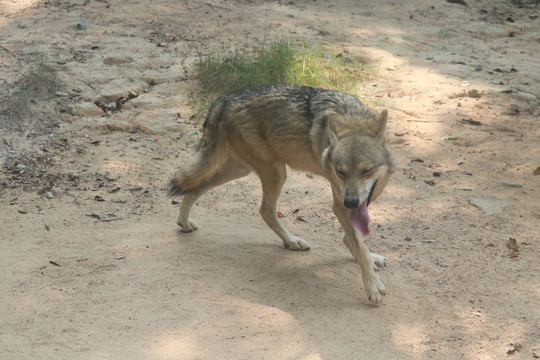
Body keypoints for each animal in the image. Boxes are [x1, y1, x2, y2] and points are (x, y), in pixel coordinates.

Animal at [170, 84, 396, 304]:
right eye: (341, 172)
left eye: (367, 170)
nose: (350, 201)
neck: (353, 118)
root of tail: (225, 98)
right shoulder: (339, 204)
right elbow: (357, 242)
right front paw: (372, 286)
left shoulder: (362, 199)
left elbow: (355, 239)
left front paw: (368, 257)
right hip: (275, 171)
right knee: (265, 211)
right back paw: (291, 240)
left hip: (240, 170)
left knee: (193, 189)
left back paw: (184, 223)